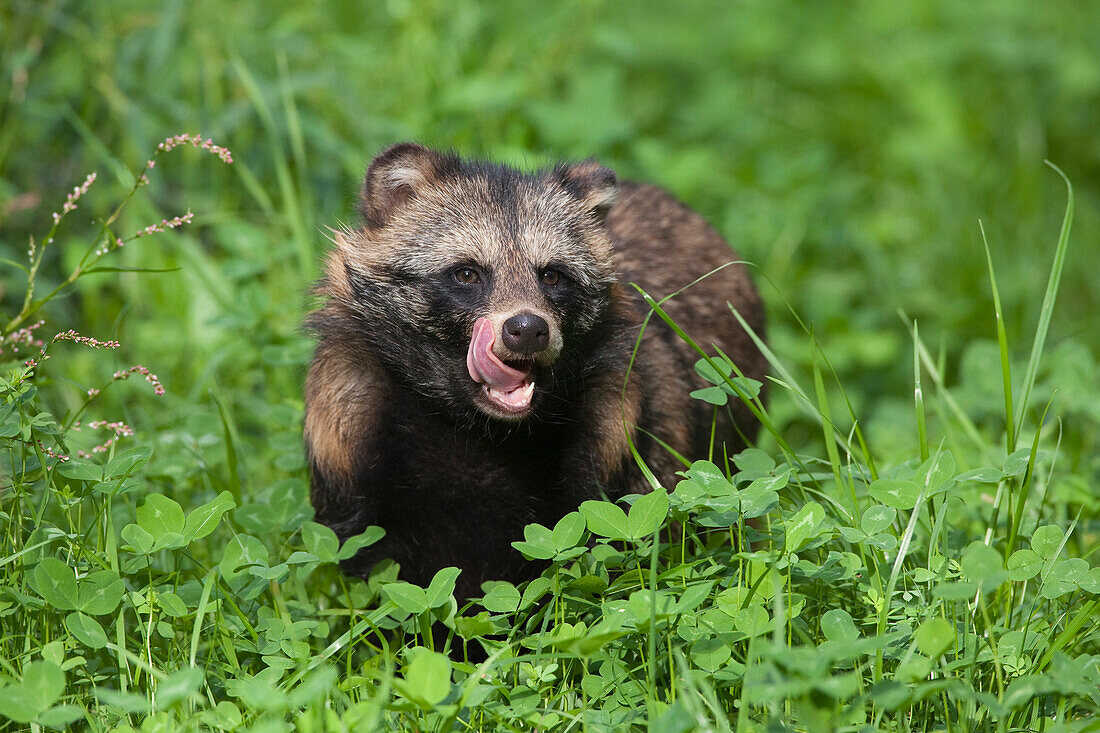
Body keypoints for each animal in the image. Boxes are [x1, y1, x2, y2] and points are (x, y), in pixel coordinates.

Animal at [303, 143, 765, 598]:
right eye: (467, 273)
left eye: (552, 276)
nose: (527, 330)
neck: (481, 432)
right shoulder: (350, 446)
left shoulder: (617, 450)